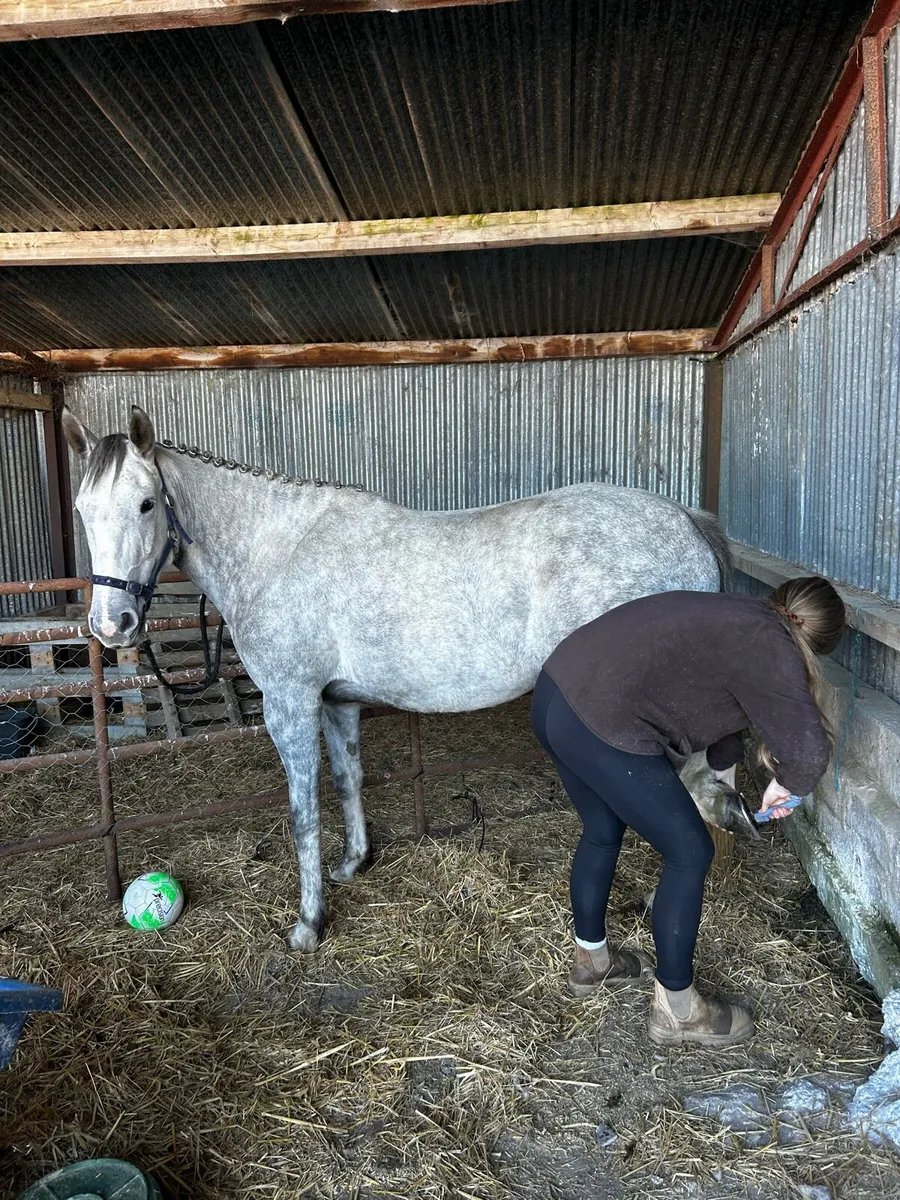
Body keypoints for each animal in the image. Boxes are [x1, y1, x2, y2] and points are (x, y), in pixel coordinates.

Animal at [62, 404, 744, 952]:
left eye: (146, 504)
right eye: (82, 510)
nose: (112, 624)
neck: (276, 550)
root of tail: (686, 522)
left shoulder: (289, 703)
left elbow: (303, 810)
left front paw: (309, 924)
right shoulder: (335, 702)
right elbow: (348, 779)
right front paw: (353, 864)